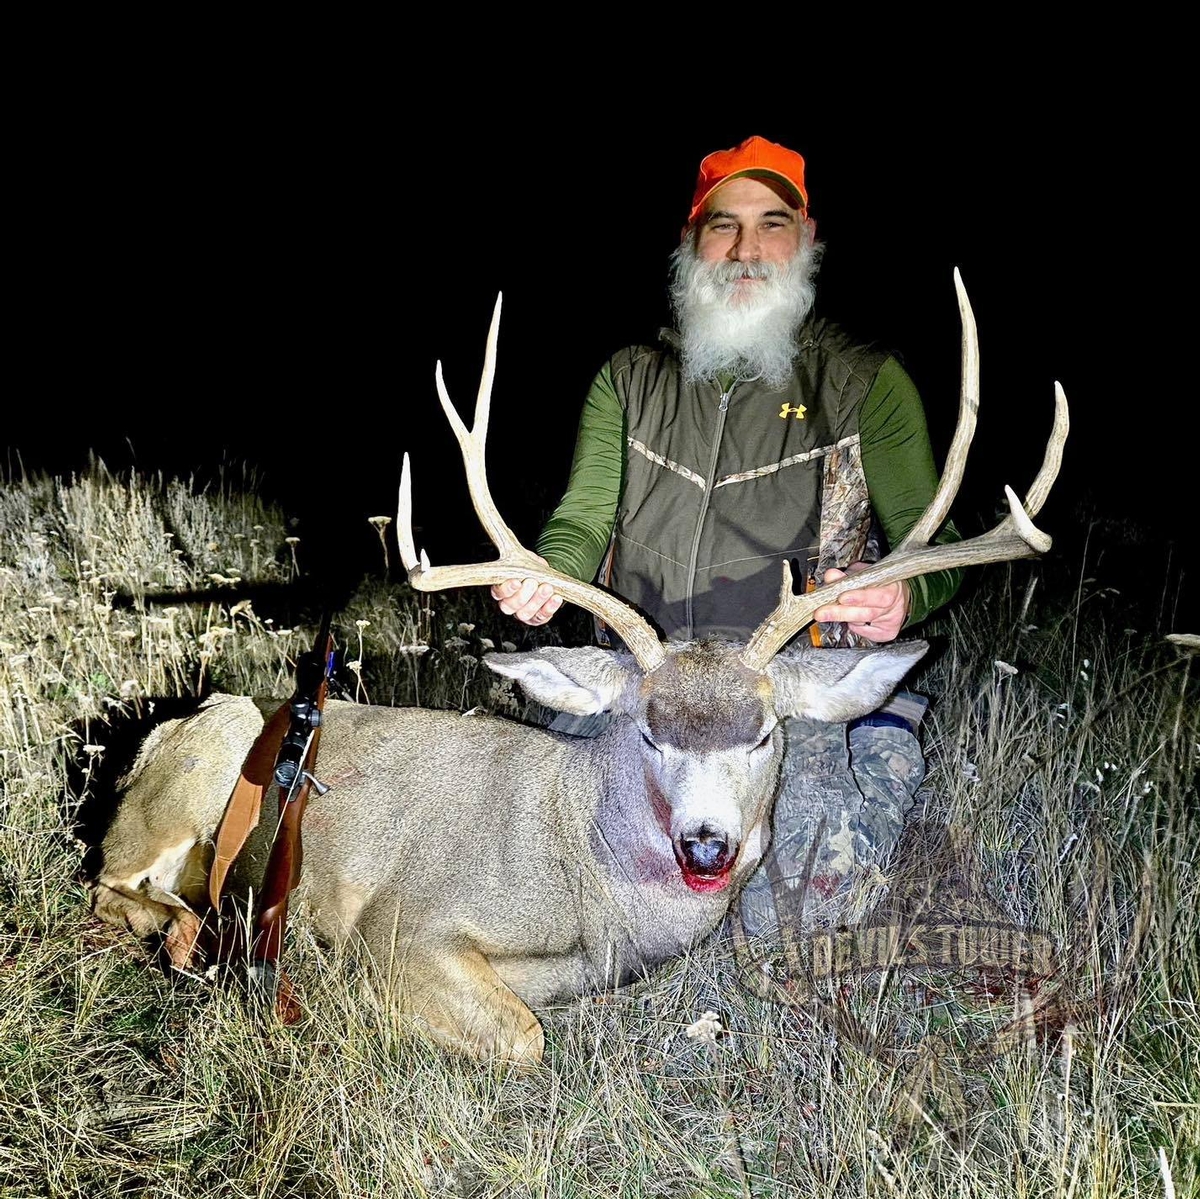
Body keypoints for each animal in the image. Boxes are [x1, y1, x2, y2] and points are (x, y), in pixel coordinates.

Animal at [89, 270, 1068, 1066]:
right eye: (647, 731)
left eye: (761, 733)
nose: (705, 843)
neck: (592, 886)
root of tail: (159, 731)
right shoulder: (404, 922)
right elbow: (524, 1037)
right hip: (184, 788)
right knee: (109, 887)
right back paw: (184, 934)